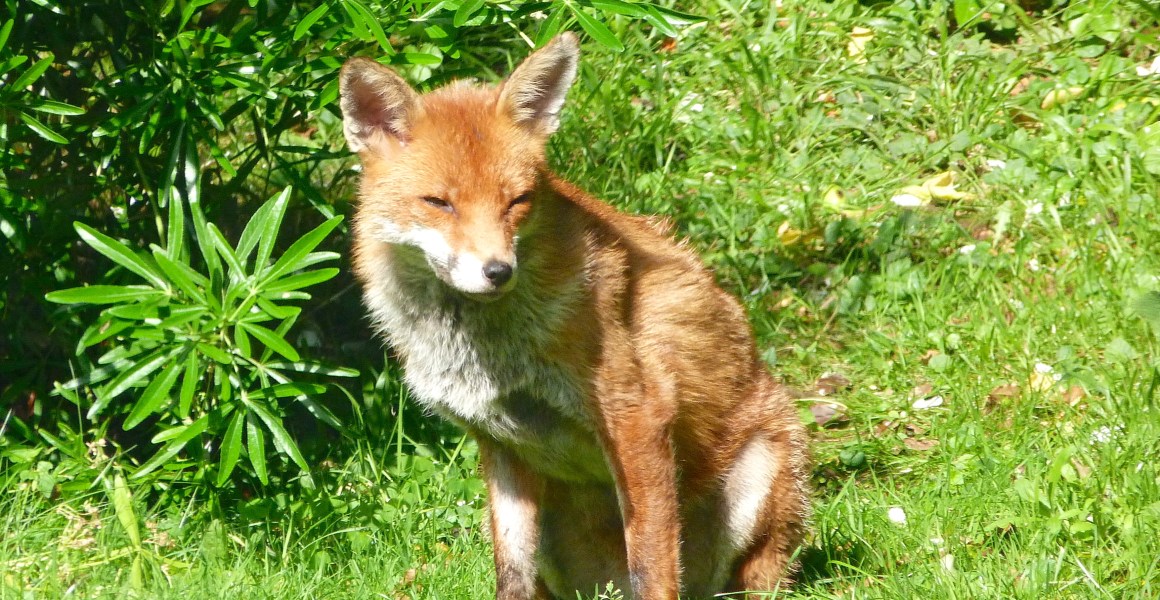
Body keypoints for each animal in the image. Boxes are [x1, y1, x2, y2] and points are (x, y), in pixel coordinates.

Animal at [338, 33, 810, 600]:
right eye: (439, 203)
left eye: (518, 201)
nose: (498, 271)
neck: (486, 348)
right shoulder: (501, 444)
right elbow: (510, 572)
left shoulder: (637, 416)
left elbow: (651, 563)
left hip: (757, 482)